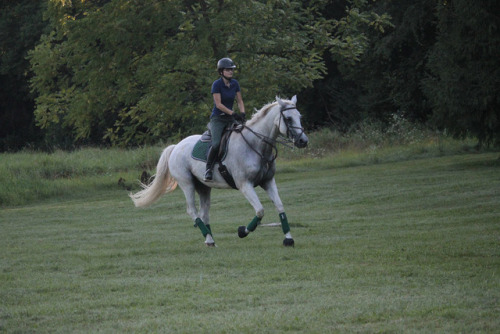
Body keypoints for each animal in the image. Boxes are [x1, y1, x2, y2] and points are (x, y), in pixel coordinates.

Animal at [129, 95, 308, 247]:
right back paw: (208, 238)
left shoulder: (268, 181)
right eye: (288, 118)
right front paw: (242, 231)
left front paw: (288, 239)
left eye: (299, 116)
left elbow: (280, 207)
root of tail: (175, 147)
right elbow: (260, 211)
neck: (256, 145)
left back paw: (210, 239)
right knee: (192, 211)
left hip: (203, 187)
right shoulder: (245, 185)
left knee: (204, 213)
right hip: (187, 183)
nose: (303, 141)